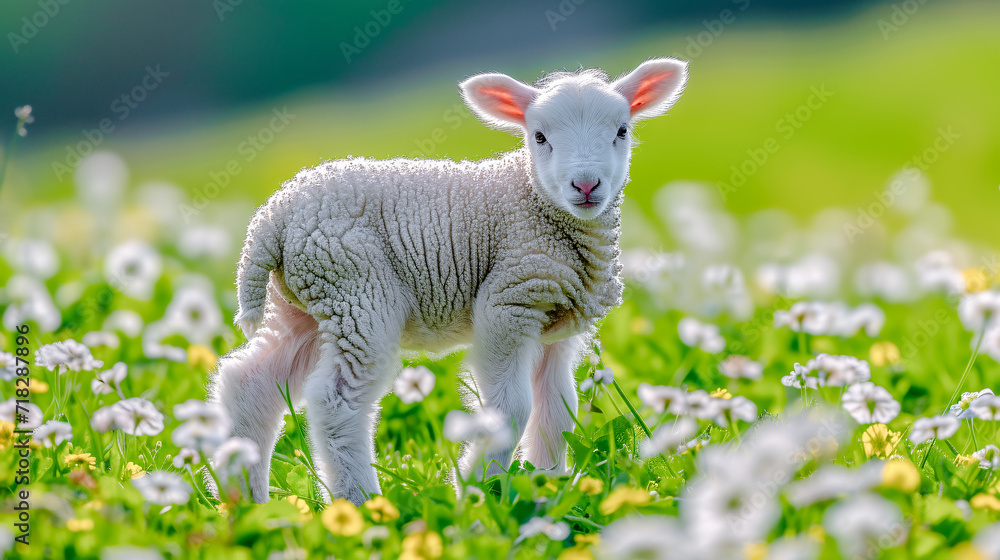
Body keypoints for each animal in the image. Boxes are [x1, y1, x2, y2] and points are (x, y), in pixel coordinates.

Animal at [209, 57, 689, 505]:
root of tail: (271, 221)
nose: (586, 185)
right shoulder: (508, 300)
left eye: (622, 130)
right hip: (357, 290)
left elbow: (557, 409)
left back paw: (242, 498)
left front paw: (547, 487)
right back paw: (361, 504)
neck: (533, 200)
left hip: (305, 301)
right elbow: (511, 408)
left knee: (249, 383)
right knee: (336, 402)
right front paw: (478, 491)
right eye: (539, 137)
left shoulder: (556, 321)